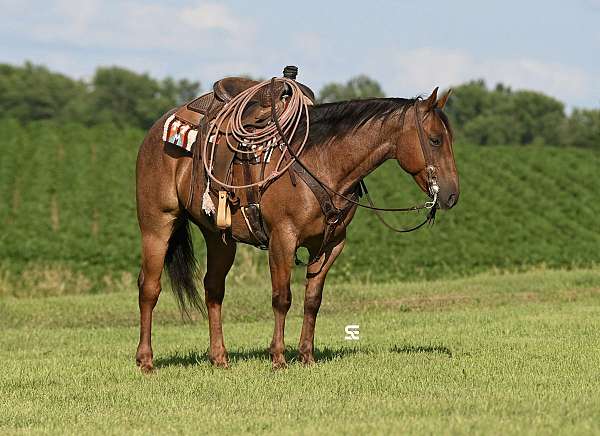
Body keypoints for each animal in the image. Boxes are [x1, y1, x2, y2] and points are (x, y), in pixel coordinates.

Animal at [134, 86, 458, 372]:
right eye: (435, 140)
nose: (452, 195)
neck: (321, 161)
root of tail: (156, 131)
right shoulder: (282, 240)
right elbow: (282, 298)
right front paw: (278, 357)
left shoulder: (330, 245)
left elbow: (312, 300)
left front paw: (306, 356)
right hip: (157, 225)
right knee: (149, 288)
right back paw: (146, 360)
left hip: (219, 238)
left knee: (213, 289)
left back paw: (220, 358)